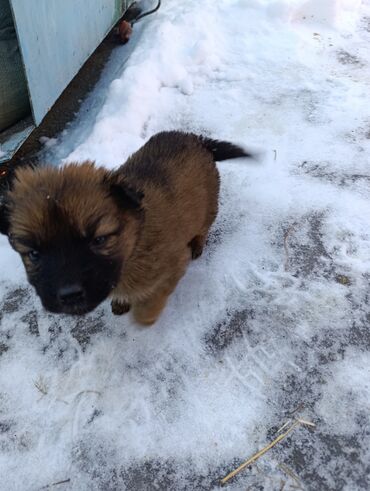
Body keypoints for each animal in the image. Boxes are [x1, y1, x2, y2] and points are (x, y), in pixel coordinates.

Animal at [0, 133, 251, 324]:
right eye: (34, 254)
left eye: (99, 240)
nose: (69, 296)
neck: (134, 242)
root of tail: (198, 140)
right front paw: (122, 301)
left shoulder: (174, 264)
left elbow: (152, 300)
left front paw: (144, 317)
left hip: (209, 206)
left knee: (204, 227)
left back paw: (198, 244)